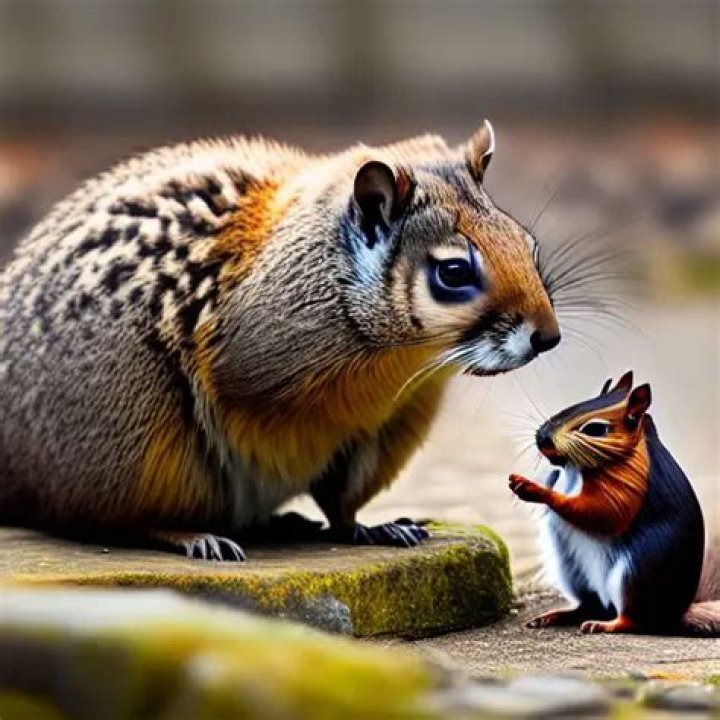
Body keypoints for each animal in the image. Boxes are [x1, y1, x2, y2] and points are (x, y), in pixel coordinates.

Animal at [0, 122, 561, 561]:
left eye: (527, 244)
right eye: (453, 272)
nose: (548, 337)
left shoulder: (379, 429)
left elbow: (342, 503)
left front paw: (369, 527)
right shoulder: (268, 358)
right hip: (134, 437)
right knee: (121, 520)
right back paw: (193, 534)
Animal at [509, 371, 719, 637]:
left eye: (596, 429)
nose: (541, 438)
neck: (574, 467)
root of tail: (672, 616)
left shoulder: (627, 485)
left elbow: (600, 512)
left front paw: (532, 489)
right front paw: (544, 478)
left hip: (634, 575)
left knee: (633, 620)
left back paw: (604, 625)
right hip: (573, 573)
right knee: (589, 606)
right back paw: (554, 616)